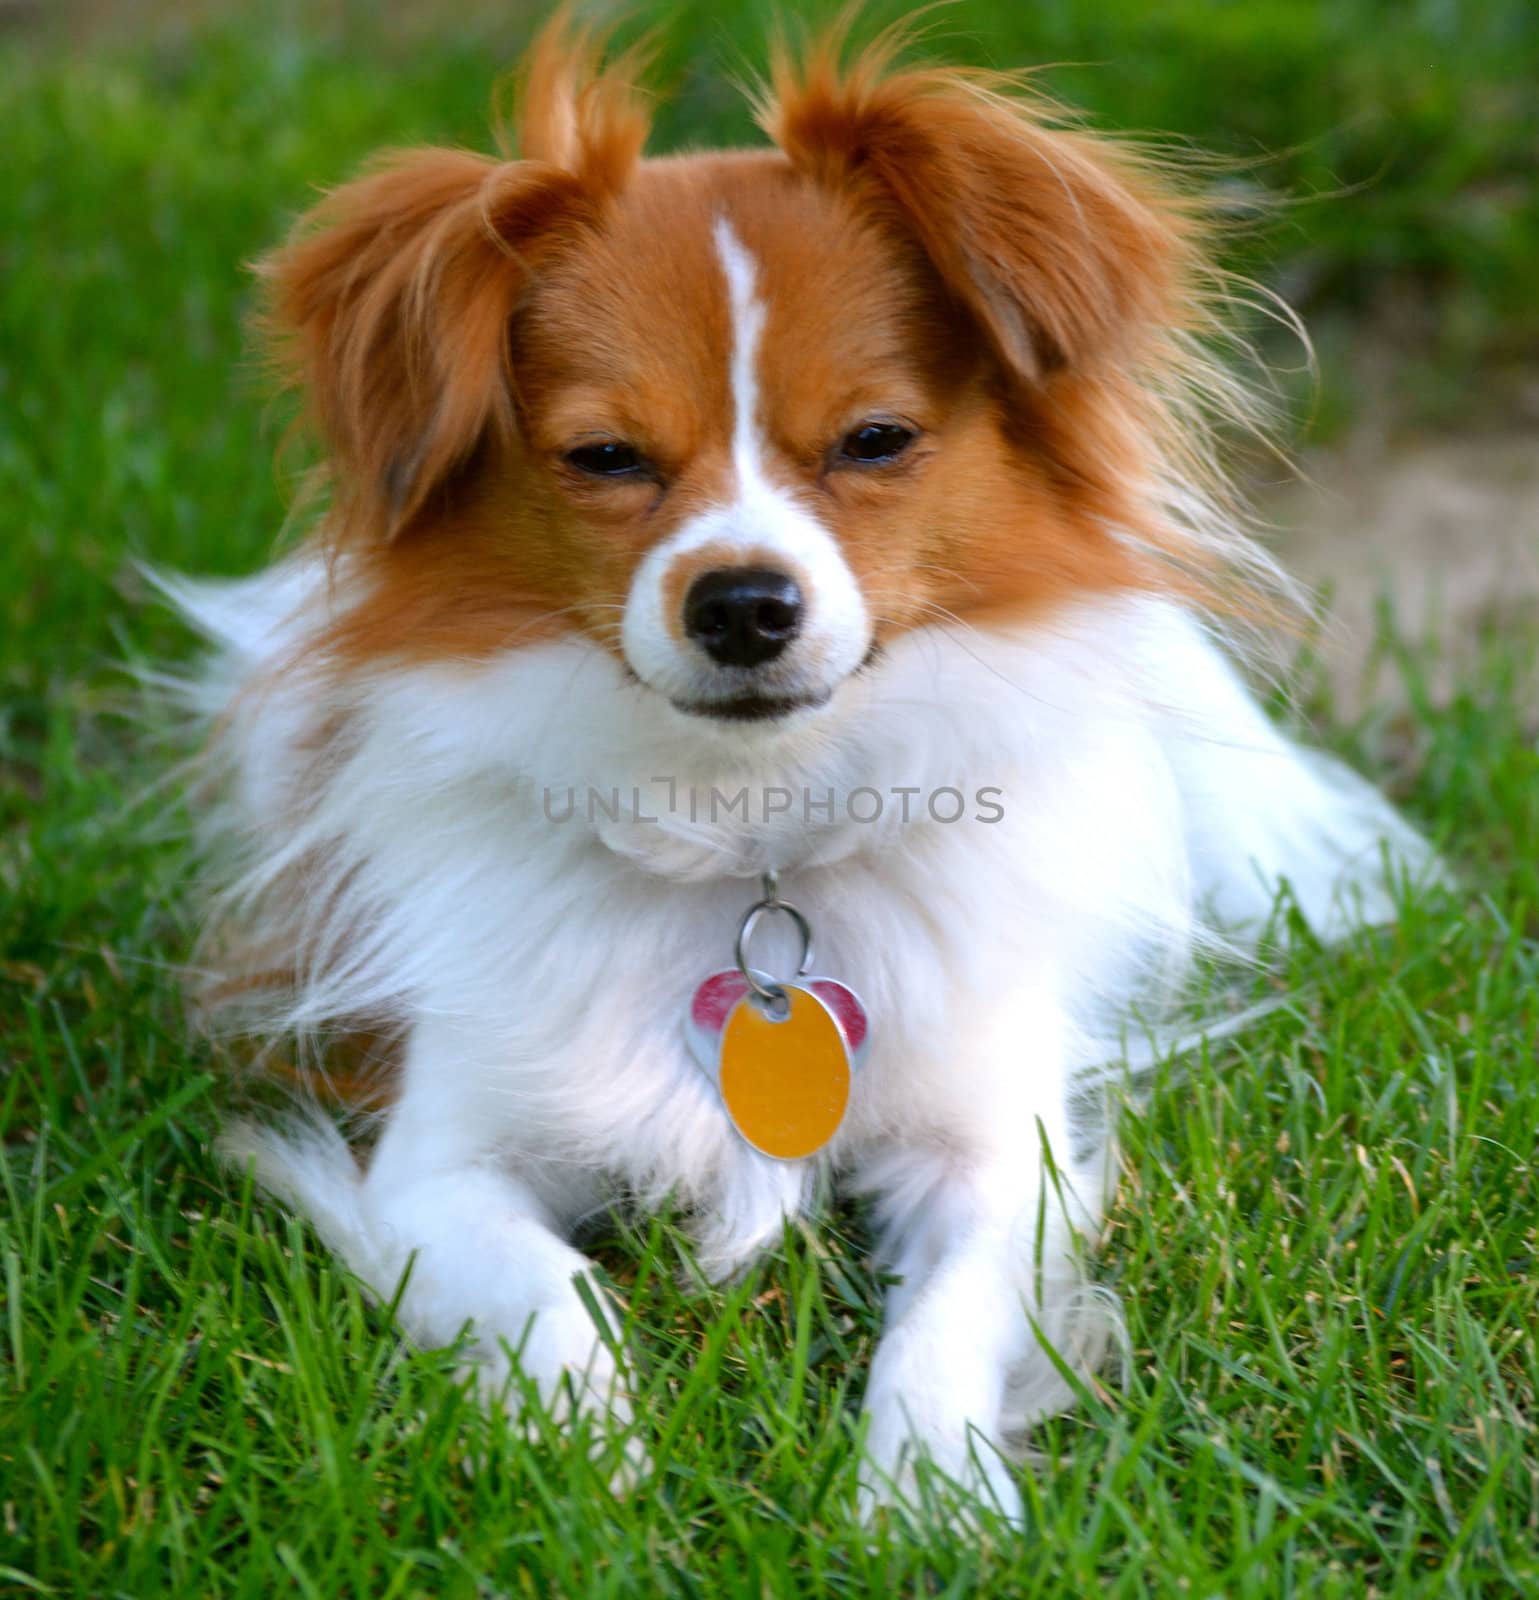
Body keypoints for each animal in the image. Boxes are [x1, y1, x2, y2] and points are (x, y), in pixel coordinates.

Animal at [161, 18, 1433, 1523]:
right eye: (604, 457)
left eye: (875, 441)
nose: (743, 602)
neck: (748, 824)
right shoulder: (436, 1161)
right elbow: (549, 1288)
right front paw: (586, 1451)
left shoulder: (998, 1153)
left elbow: (946, 1314)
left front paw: (921, 1490)